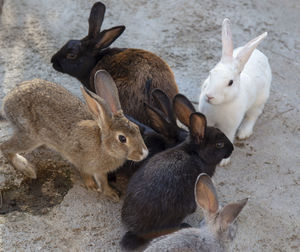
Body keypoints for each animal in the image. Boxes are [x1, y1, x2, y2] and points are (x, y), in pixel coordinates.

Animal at [0, 70, 148, 202]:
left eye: (137, 128)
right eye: (122, 138)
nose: (144, 153)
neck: (103, 145)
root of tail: (7, 100)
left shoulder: (100, 170)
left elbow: (103, 181)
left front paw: (111, 194)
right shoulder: (81, 160)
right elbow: (86, 174)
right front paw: (91, 186)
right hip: (29, 137)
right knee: (5, 147)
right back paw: (26, 168)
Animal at [199, 18, 272, 165]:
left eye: (230, 82)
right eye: (211, 73)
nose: (209, 96)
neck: (220, 105)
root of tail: (259, 53)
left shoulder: (230, 126)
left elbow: (228, 138)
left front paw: (223, 161)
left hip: (259, 100)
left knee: (253, 115)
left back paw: (244, 132)